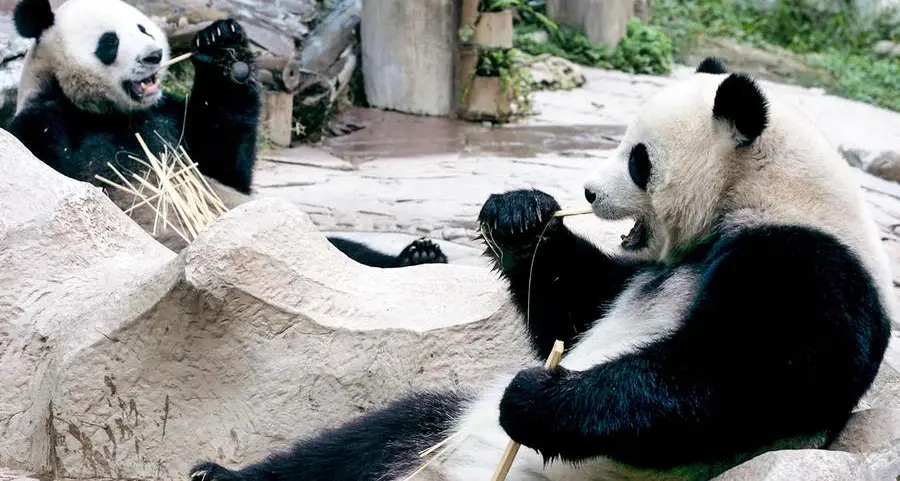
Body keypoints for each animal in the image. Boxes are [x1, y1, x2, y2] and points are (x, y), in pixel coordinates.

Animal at [3, 0, 446, 270]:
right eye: (109, 41)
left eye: (143, 28)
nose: (153, 56)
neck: (111, 112)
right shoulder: (46, 122)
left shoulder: (170, 121)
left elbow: (225, 164)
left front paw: (224, 49)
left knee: (345, 253)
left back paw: (418, 255)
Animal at [185, 60, 892, 480]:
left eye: (637, 158)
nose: (587, 191)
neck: (762, 190)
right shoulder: (643, 273)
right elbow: (575, 308)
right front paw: (518, 216)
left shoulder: (808, 262)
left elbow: (742, 376)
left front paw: (540, 400)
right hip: (438, 429)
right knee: (366, 442)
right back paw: (218, 475)